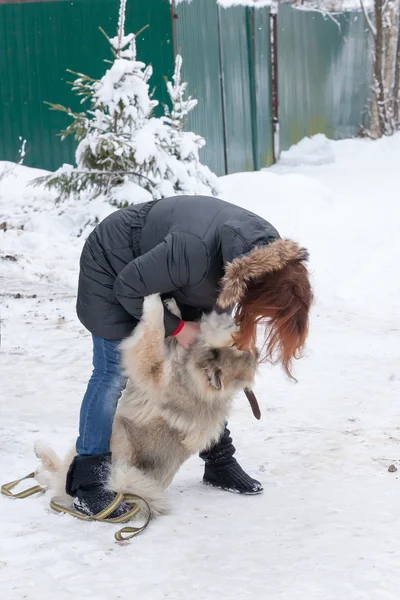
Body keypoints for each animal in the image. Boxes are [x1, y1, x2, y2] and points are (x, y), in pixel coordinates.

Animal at [36, 296, 258, 516]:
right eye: (237, 343)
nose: (245, 323)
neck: (194, 372)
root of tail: (127, 495)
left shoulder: (152, 370)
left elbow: (153, 334)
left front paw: (154, 301)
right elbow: (168, 335)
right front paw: (173, 309)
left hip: (118, 433)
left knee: (63, 478)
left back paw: (43, 457)